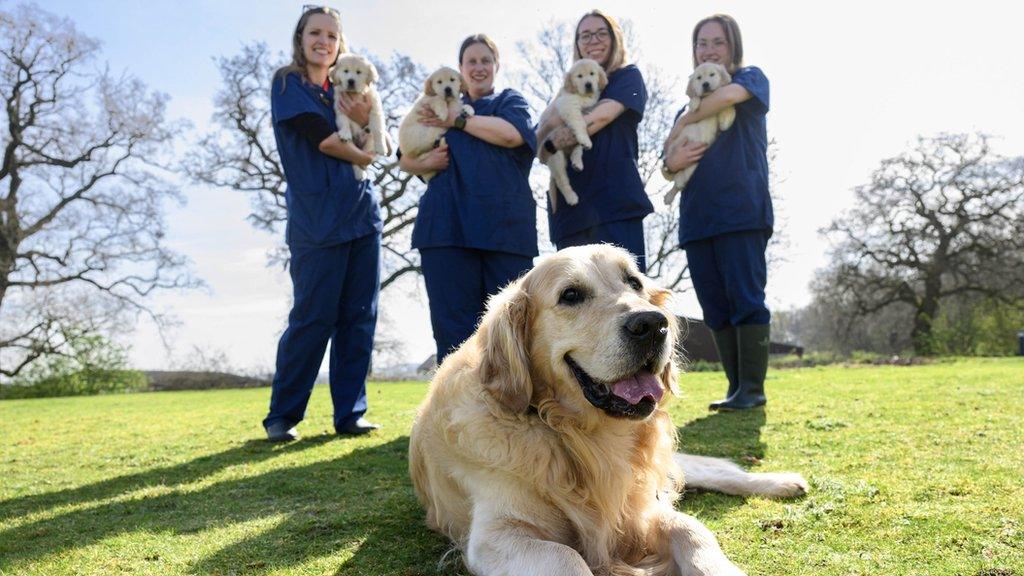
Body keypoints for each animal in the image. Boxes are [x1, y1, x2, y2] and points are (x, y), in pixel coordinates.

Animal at [407, 241, 806, 573]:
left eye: (634, 283)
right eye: (570, 295)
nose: (653, 324)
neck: (578, 435)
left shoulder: (642, 508)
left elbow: (691, 529)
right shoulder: (497, 534)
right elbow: (565, 556)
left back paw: (782, 482)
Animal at [544, 58, 606, 212]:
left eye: (592, 74)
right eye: (579, 76)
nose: (588, 84)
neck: (582, 96)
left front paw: (584, 142)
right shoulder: (568, 105)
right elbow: (580, 123)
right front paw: (585, 138)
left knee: (576, 148)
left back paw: (577, 161)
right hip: (556, 157)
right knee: (561, 180)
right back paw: (571, 197)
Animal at [663, 62, 737, 203]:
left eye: (712, 74)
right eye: (699, 78)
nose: (705, 84)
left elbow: (730, 107)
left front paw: (725, 121)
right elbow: (695, 97)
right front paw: (694, 103)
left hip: (694, 164)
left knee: (680, 181)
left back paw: (673, 190)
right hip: (676, 148)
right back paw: (670, 194)